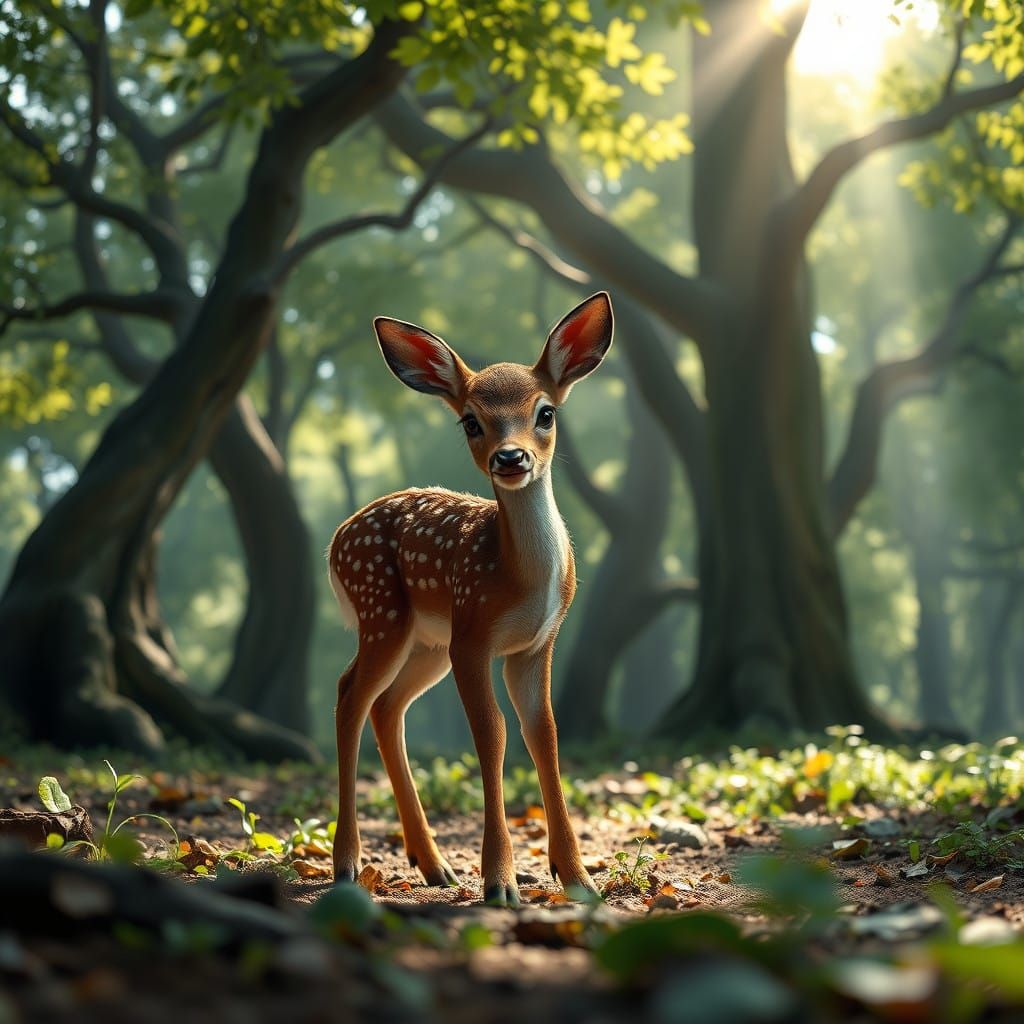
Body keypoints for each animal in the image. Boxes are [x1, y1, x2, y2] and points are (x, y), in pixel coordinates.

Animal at [327, 292, 613, 906]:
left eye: (546, 413)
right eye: (470, 420)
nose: (511, 458)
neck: (516, 576)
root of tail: (335, 542)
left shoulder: (536, 644)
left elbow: (544, 733)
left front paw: (577, 879)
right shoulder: (475, 635)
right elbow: (493, 733)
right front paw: (501, 881)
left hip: (428, 643)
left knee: (387, 707)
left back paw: (434, 865)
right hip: (382, 611)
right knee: (350, 696)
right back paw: (346, 865)